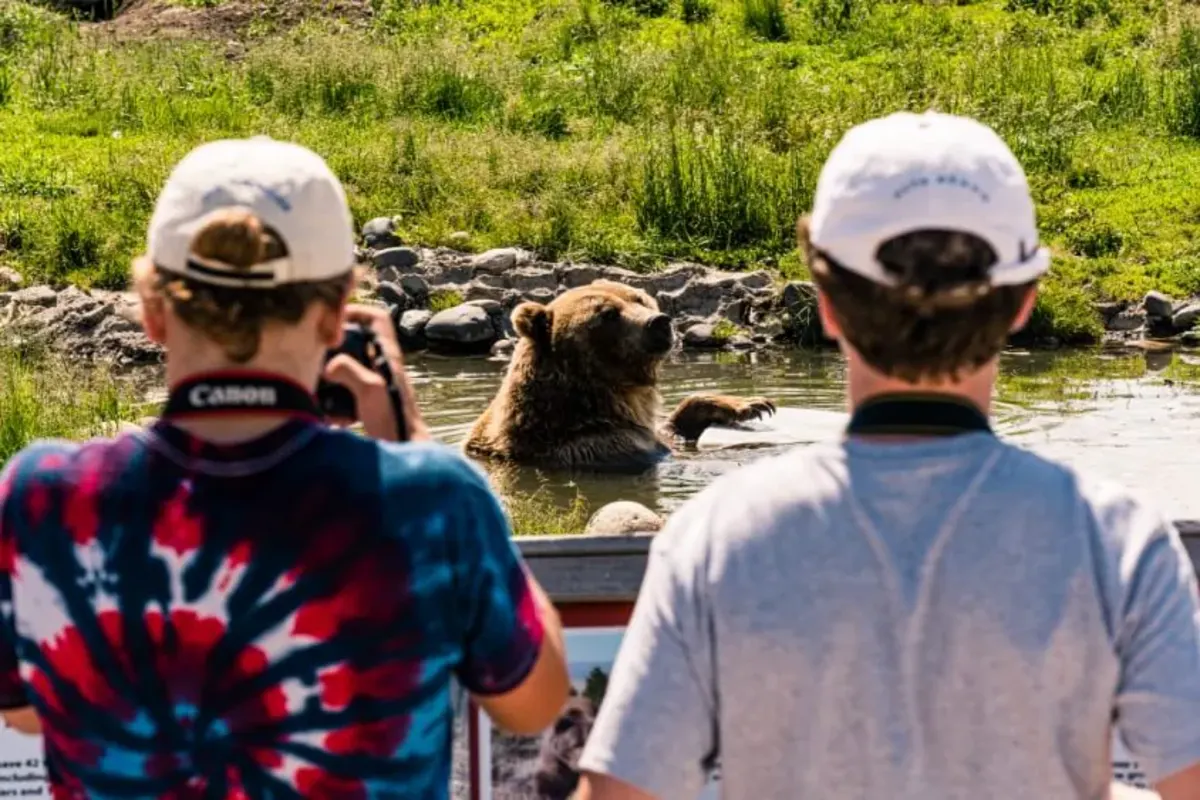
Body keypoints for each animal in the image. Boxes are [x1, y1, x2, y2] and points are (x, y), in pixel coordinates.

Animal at [463, 279, 777, 472]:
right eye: (608, 314)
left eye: (638, 298)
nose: (659, 322)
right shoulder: (604, 446)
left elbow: (673, 427)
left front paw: (751, 404)